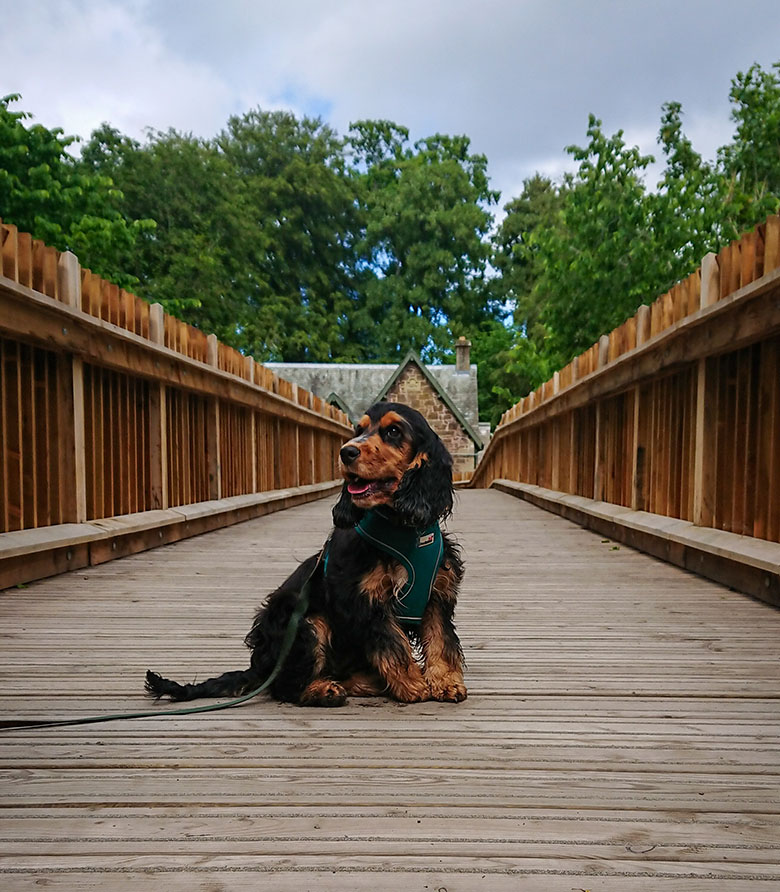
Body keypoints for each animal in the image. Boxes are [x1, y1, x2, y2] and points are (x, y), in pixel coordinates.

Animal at [144, 400, 466, 708]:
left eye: (394, 431)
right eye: (358, 429)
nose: (346, 452)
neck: (401, 526)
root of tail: (261, 666)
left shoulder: (437, 595)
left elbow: (441, 640)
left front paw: (446, 683)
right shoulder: (364, 599)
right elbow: (393, 643)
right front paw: (414, 686)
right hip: (306, 624)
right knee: (284, 685)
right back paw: (324, 691)